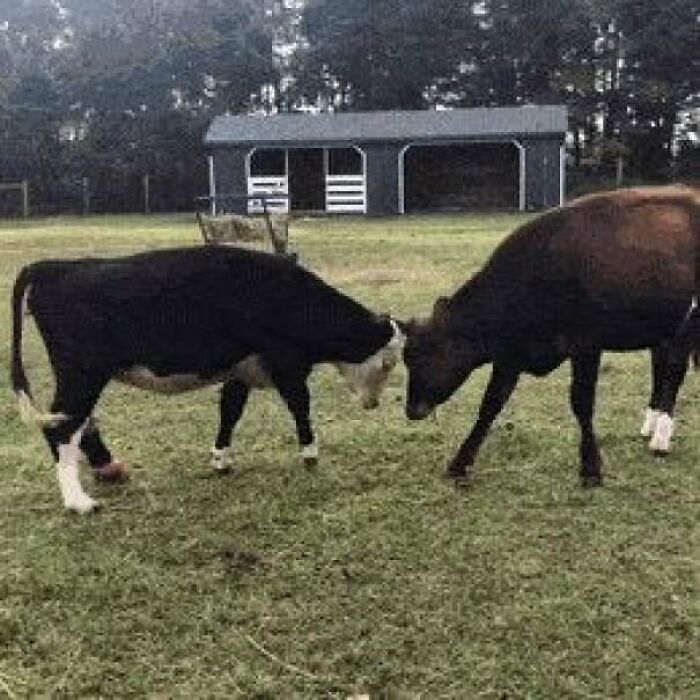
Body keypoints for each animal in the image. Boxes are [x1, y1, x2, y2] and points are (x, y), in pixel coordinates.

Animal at [11, 245, 405, 513]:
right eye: (388, 364)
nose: (373, 403)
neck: (286, 294)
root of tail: (55, 267)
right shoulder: (285, 363)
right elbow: (300, 406)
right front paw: (310, 454)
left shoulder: (240, 370)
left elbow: (230, 411)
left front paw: (221, 460)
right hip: (82, 373)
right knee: (63, 426)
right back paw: (78, 501)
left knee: (76, 422)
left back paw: (108, 468)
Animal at [402, 185, 699, 487]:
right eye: (406, 358)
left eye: (425, 357)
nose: (412, 409)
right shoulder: (511, 353)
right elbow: (491, 403)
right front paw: (460, 463)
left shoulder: (586, 344)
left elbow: (582, 403)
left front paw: (590, 468)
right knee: (662, 368)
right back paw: (651, 426)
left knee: (674, 369)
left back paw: (660, 439)